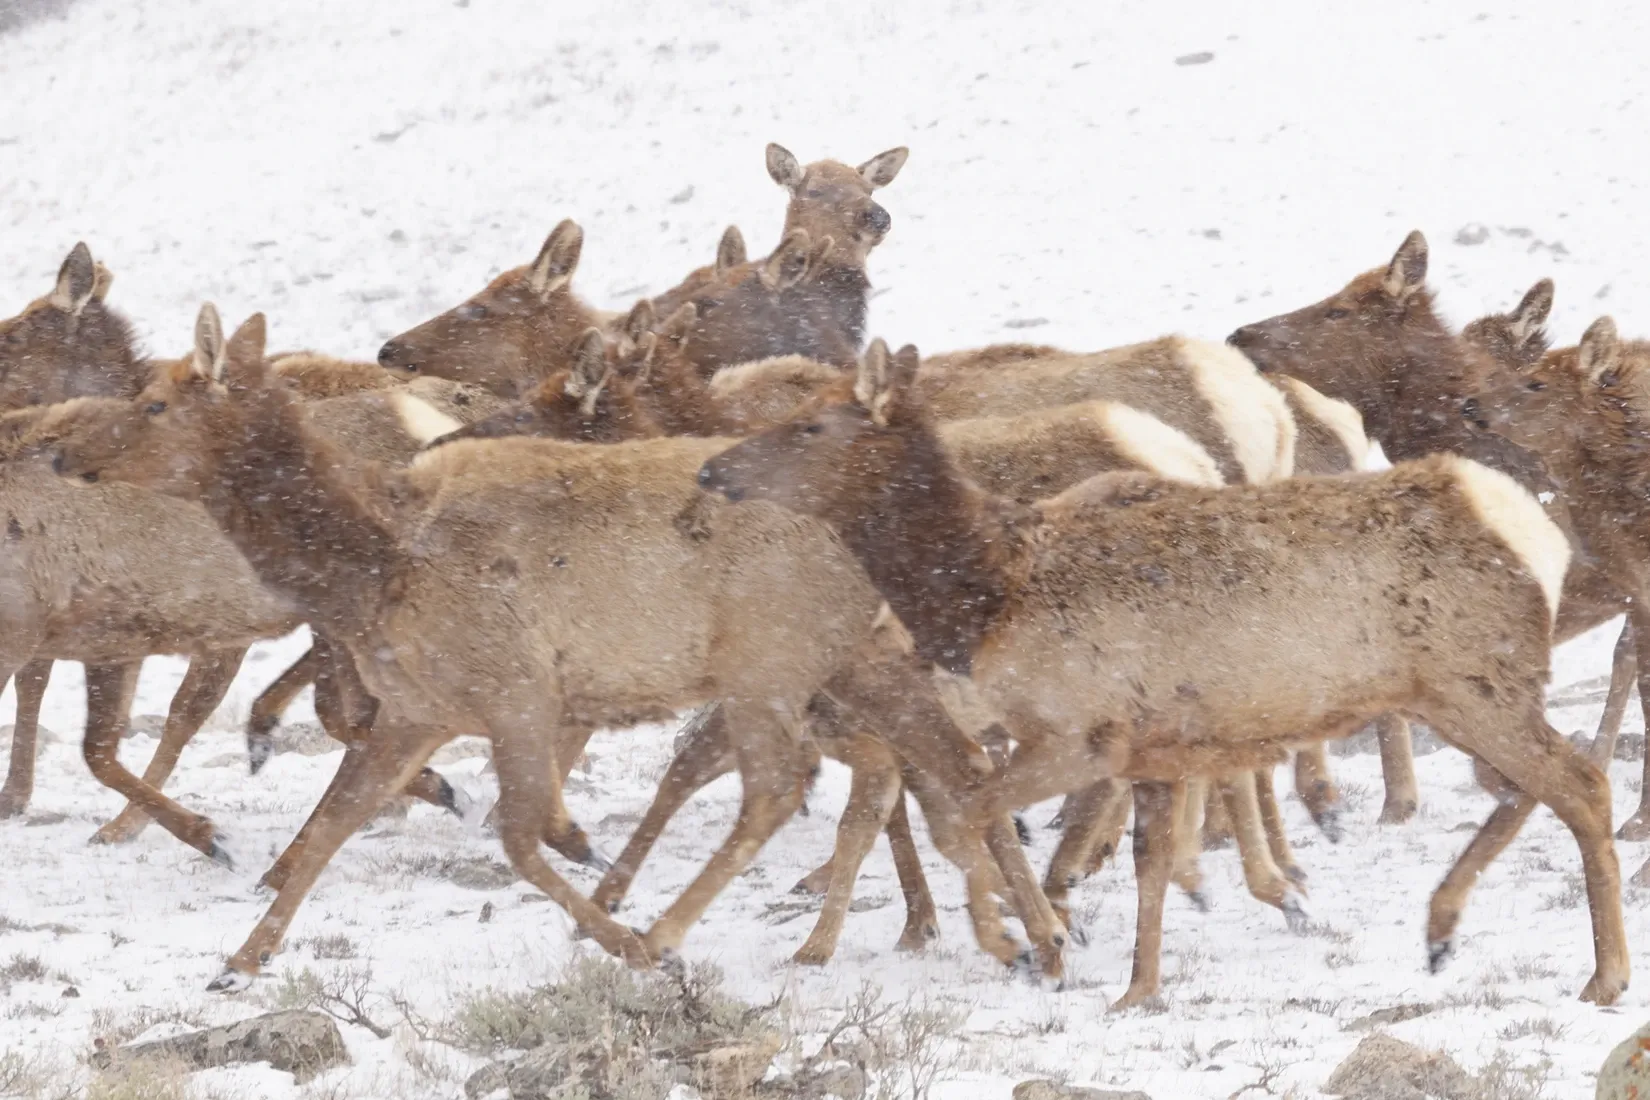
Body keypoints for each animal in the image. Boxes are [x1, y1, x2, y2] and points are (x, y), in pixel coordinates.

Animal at [45, 308, 1066, 989]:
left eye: (154, 402)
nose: (57, 452)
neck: (375, 568)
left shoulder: (518, 690)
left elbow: (519, 837)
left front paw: (621, 939)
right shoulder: (421, 707)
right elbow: (337, 822)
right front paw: (241, 959)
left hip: (767, 662)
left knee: (784, 788)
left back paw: (672, 934)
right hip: (860, 661)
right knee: (957, 767)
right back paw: (1032, 939)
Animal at [698, 338, 1626, 1010]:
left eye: (814, 426)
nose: (711, 469)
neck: (986, 594)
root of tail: (1529, 530)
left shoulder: (1079, 733)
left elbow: (970, 817)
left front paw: (1024, 946)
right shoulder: (1155, 748)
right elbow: (1145, 861)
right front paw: (1137, 989)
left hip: (1475, 684)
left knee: (1580, 782)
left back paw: (1602, 974)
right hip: (1459, 692)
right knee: (1533, 783)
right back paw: (1442, 926)